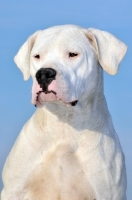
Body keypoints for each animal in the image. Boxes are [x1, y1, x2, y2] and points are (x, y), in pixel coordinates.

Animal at [0, 25, 127, 200]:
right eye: (37, 56)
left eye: (73, 54)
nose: (44, 74)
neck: (64, 124)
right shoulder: (14, 191)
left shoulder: (107, 193)